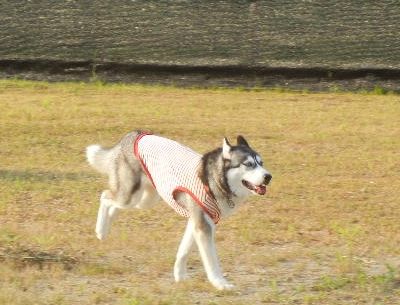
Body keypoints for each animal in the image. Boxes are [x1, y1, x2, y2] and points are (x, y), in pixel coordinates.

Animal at [85, 131, 270, 290]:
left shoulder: (198, 222)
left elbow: (183, 251)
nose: (268, 176)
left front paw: (180, 276)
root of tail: (134, 134)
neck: (212, 180)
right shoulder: (203, 226)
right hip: (130, 195)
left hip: (144, 199)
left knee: (116, 205)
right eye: (248, 164)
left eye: (261, 163)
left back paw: (106, 226)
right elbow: (211, 260)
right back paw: (101, 230)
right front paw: (220, 283)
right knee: (105, 196)